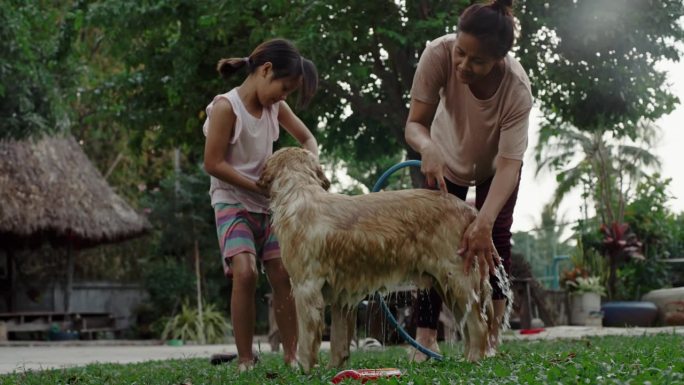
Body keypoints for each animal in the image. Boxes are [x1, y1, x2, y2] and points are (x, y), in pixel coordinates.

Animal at [256, 146, 496, 368]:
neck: (298, 193)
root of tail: (469, 209)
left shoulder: (305, 288)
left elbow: (306, 342)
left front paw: (304, 370)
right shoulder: (341, 295)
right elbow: (338, 341)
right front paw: (334, 368)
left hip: (457, 279)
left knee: (479, 325)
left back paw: (474, 359)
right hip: (445, 286)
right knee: (468, 325)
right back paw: (466, 358)